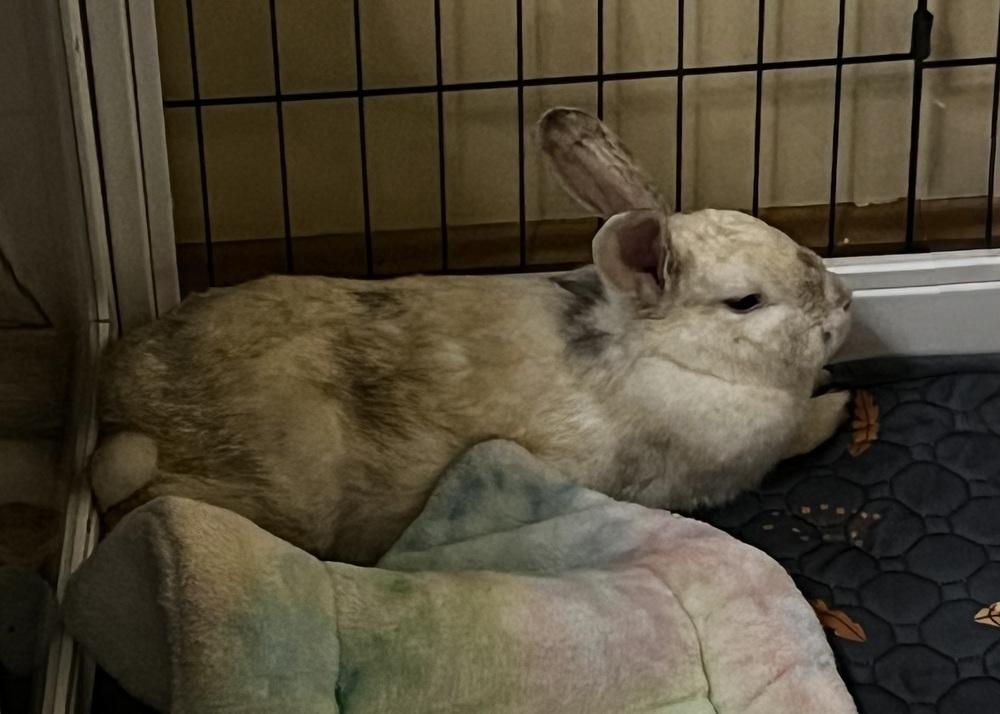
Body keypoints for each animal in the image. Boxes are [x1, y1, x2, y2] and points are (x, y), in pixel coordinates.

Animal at [91, 108, 852, 565]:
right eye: (745, 302)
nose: (844, 308)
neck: (658, 353)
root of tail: (121, 405)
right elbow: (798, 435)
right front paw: (838, 406)